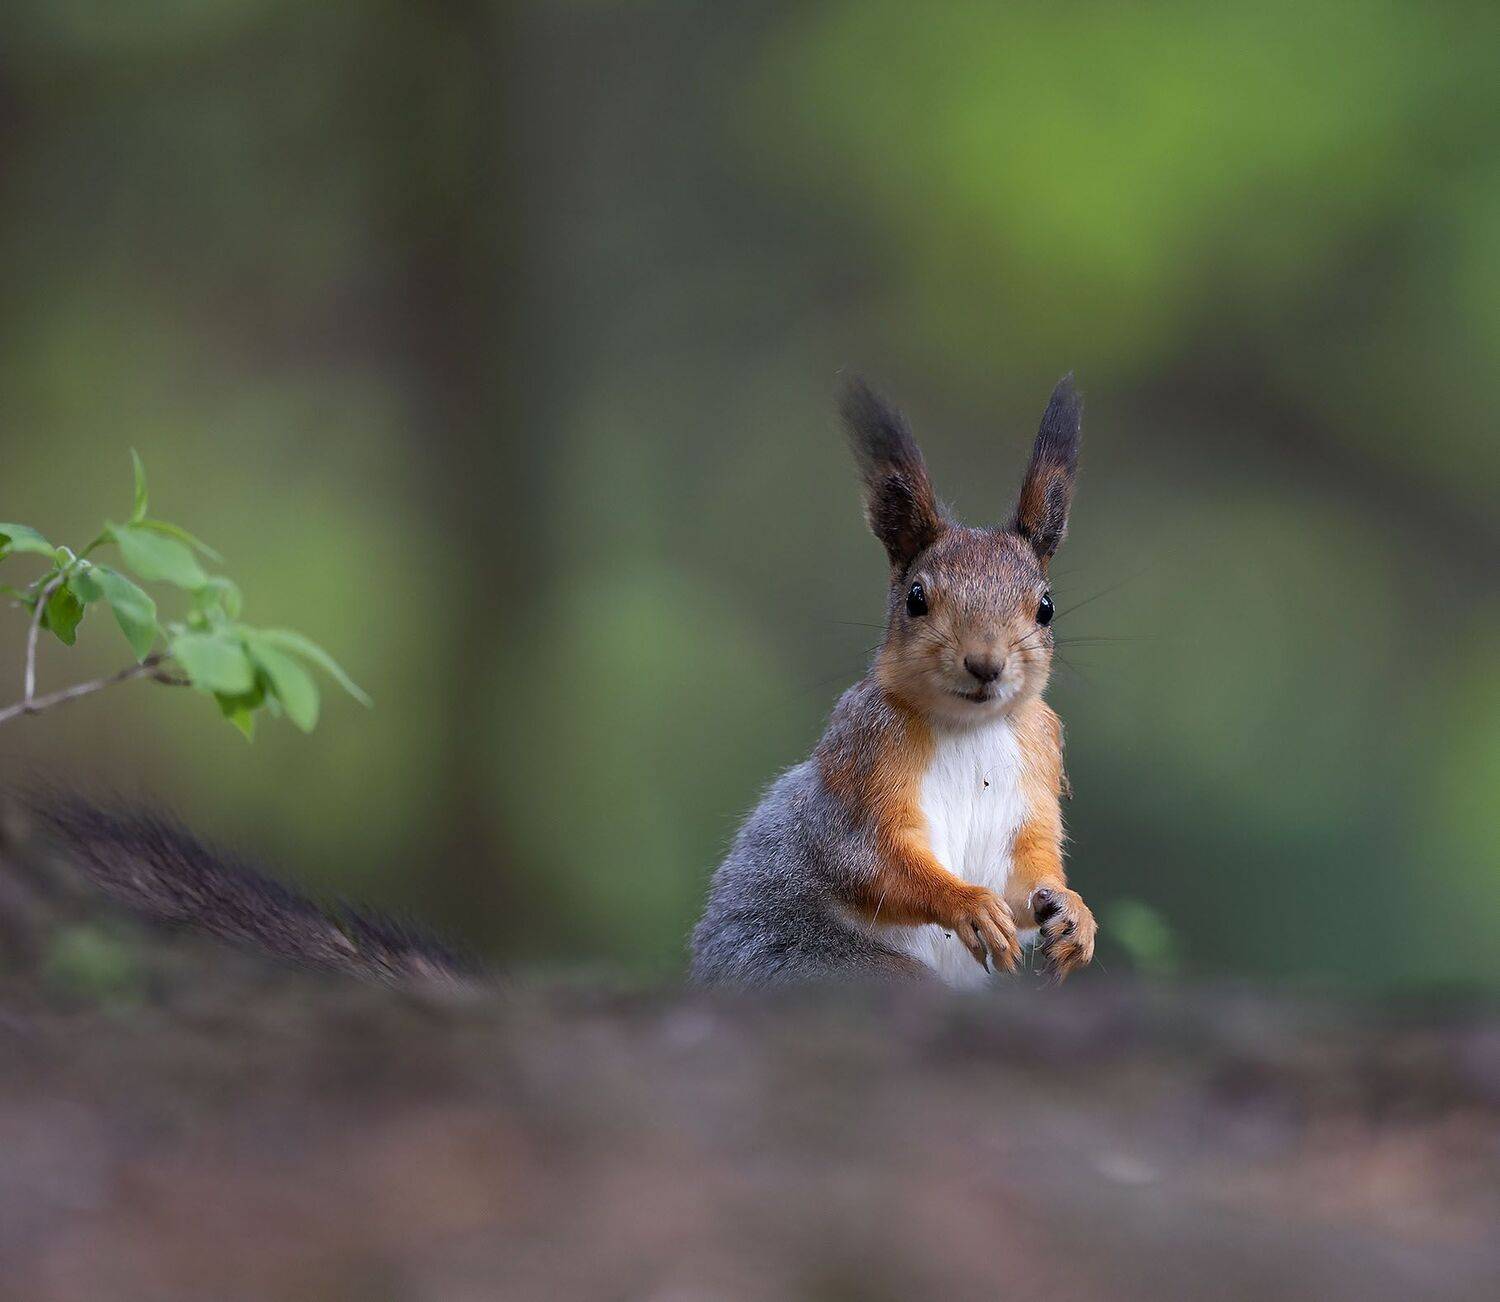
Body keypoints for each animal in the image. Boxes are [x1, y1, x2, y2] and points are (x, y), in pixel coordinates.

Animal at [691, 375, 1096, 987]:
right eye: (916, 598)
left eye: (1046, 608)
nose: (985, 663)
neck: (969, 725)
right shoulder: (866, 755)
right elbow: (871, 861)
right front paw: (968, 904)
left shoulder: (1038, 761)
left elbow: (1029, 875)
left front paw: (1074, 913)